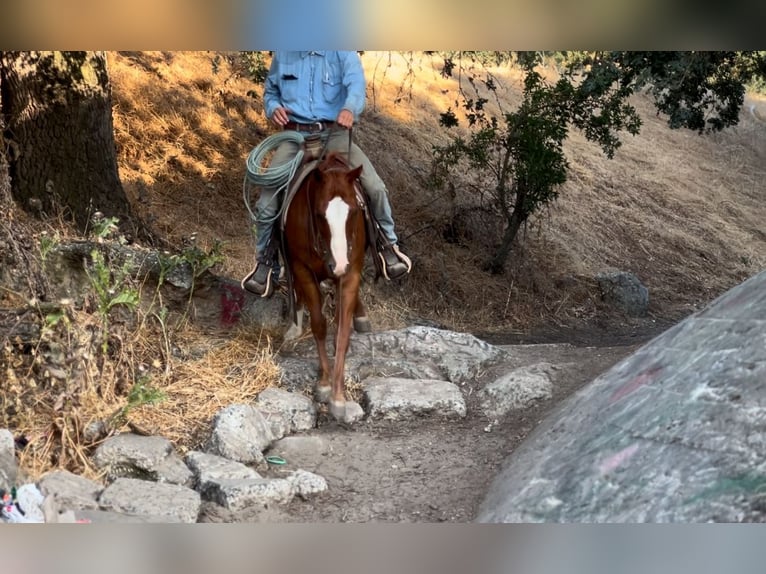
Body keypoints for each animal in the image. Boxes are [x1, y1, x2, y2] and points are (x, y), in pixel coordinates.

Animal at [281, 151, 370, 422]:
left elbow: (342, 332)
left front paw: (338, 398)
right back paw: (295, 325)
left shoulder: (351, 273)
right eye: (320, 214)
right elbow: (319, 325)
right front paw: (324, 383)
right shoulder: (303, 269)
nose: (338, 264)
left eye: (354, 212)